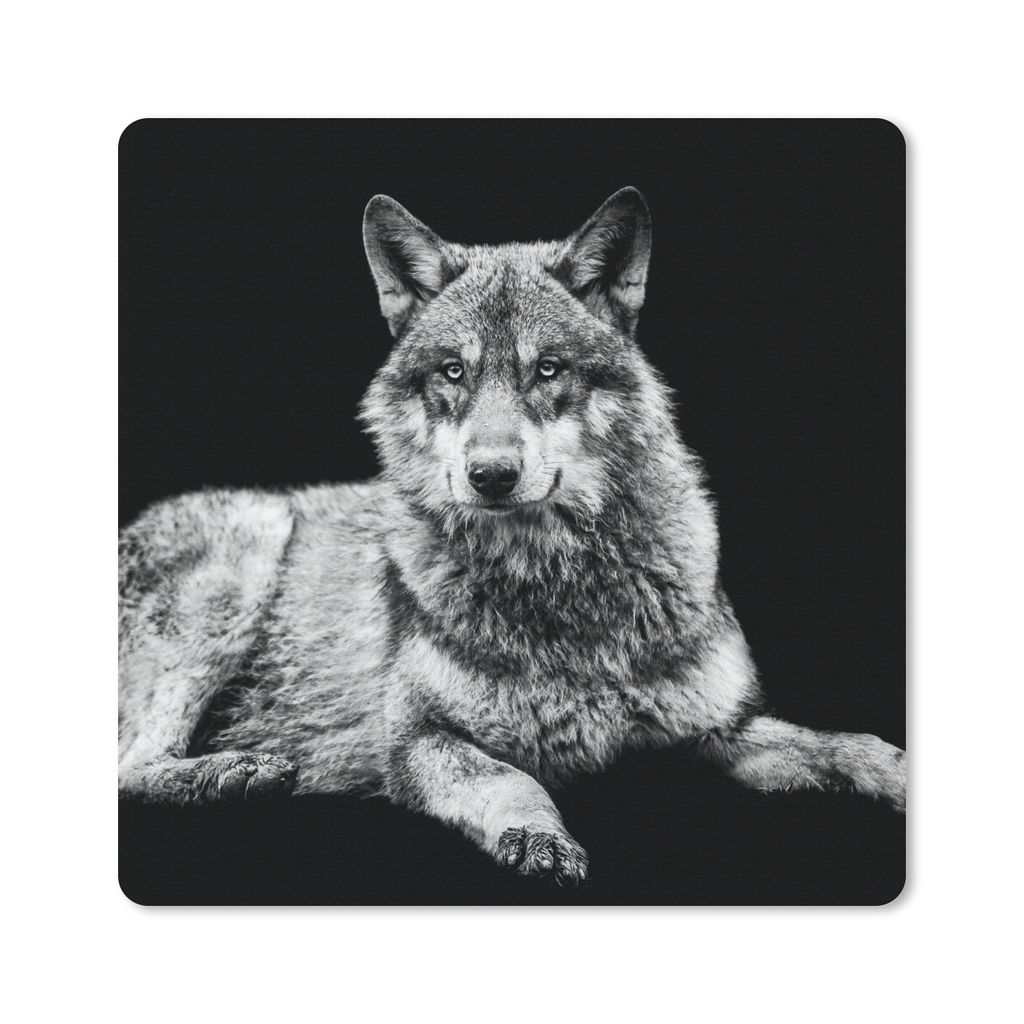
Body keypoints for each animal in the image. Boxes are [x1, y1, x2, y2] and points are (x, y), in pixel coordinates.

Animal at [119, 188, 905, 884]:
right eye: (453, 372)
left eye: (547, 369)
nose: (491, 475)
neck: (560, 586)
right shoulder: (418, 741)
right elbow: (510, 778)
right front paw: (537, 837)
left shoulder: (723, 729)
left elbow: (846, 744)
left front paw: (895, 771)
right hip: (243, 559)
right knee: (130, 767)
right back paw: (237, 772)